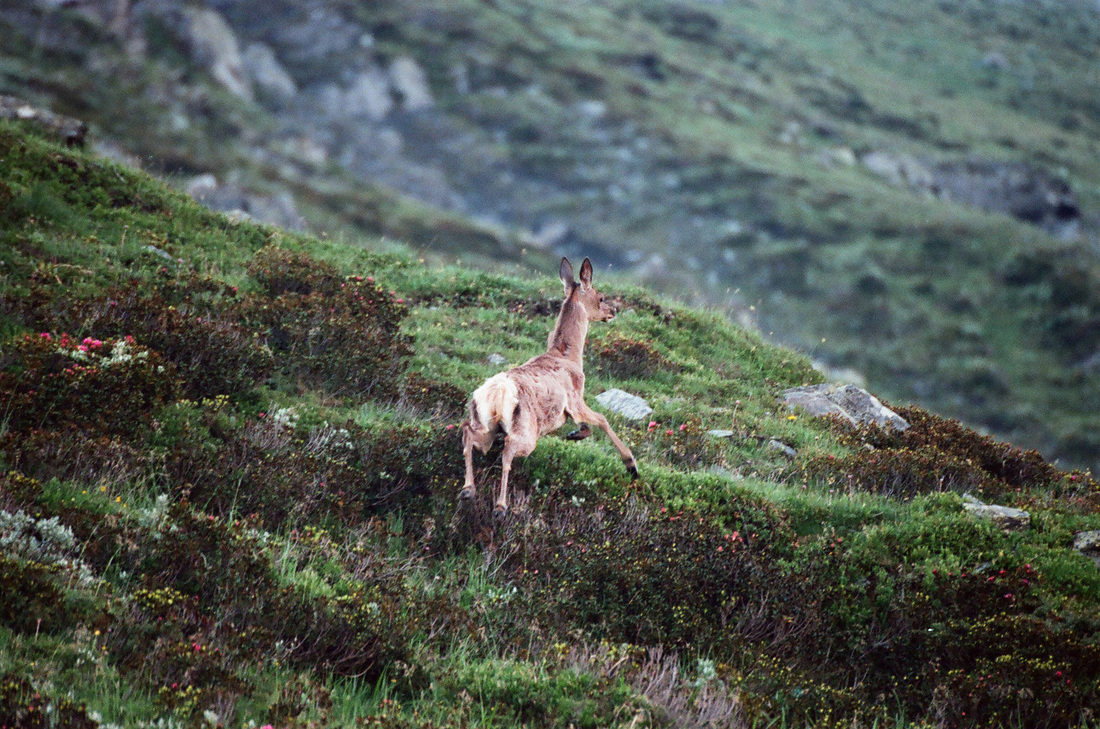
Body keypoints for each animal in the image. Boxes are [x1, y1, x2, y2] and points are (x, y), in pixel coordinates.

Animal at [460, 257, 639, 516]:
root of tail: (496, 394)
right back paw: (500, 506)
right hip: (526, 428)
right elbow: (603, 419)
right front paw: (631, 465)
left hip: (486, 424)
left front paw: (576, 434)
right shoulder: (575, 399)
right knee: (508, 451)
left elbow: (587, 425)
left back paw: (468, 490)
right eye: (601, 297)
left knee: (468, 433)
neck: (569, 356)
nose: (612, 312)